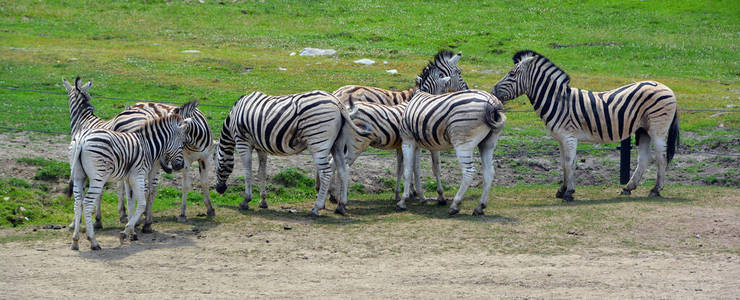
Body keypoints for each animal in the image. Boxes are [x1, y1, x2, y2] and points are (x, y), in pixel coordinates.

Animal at [214, 90, 370, 217]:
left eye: (215, 167)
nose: (219, 190)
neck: (233, 117)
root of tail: (338, 103)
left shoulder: (242, 141)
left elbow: (247, 172)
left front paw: (245, 200)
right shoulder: (261, 147)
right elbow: (262, 173)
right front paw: (263, 201)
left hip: (318, 141)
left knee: (326, 172)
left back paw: (316, 208)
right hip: (337, 144)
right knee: (344, 170)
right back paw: (341, 206)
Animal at [494, 50, 680, 200]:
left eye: (512, 74)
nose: (494, 90)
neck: (559, 101)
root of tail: (667, 88)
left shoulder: (569, 136)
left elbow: (569, 162)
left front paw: (569, 193)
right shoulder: (561, 138)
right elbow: (563, 163)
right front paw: (562, 190)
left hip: (657, 128)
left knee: (661, 157)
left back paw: (656, 190)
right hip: (643, 129)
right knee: (644, 159)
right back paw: (628, 188)